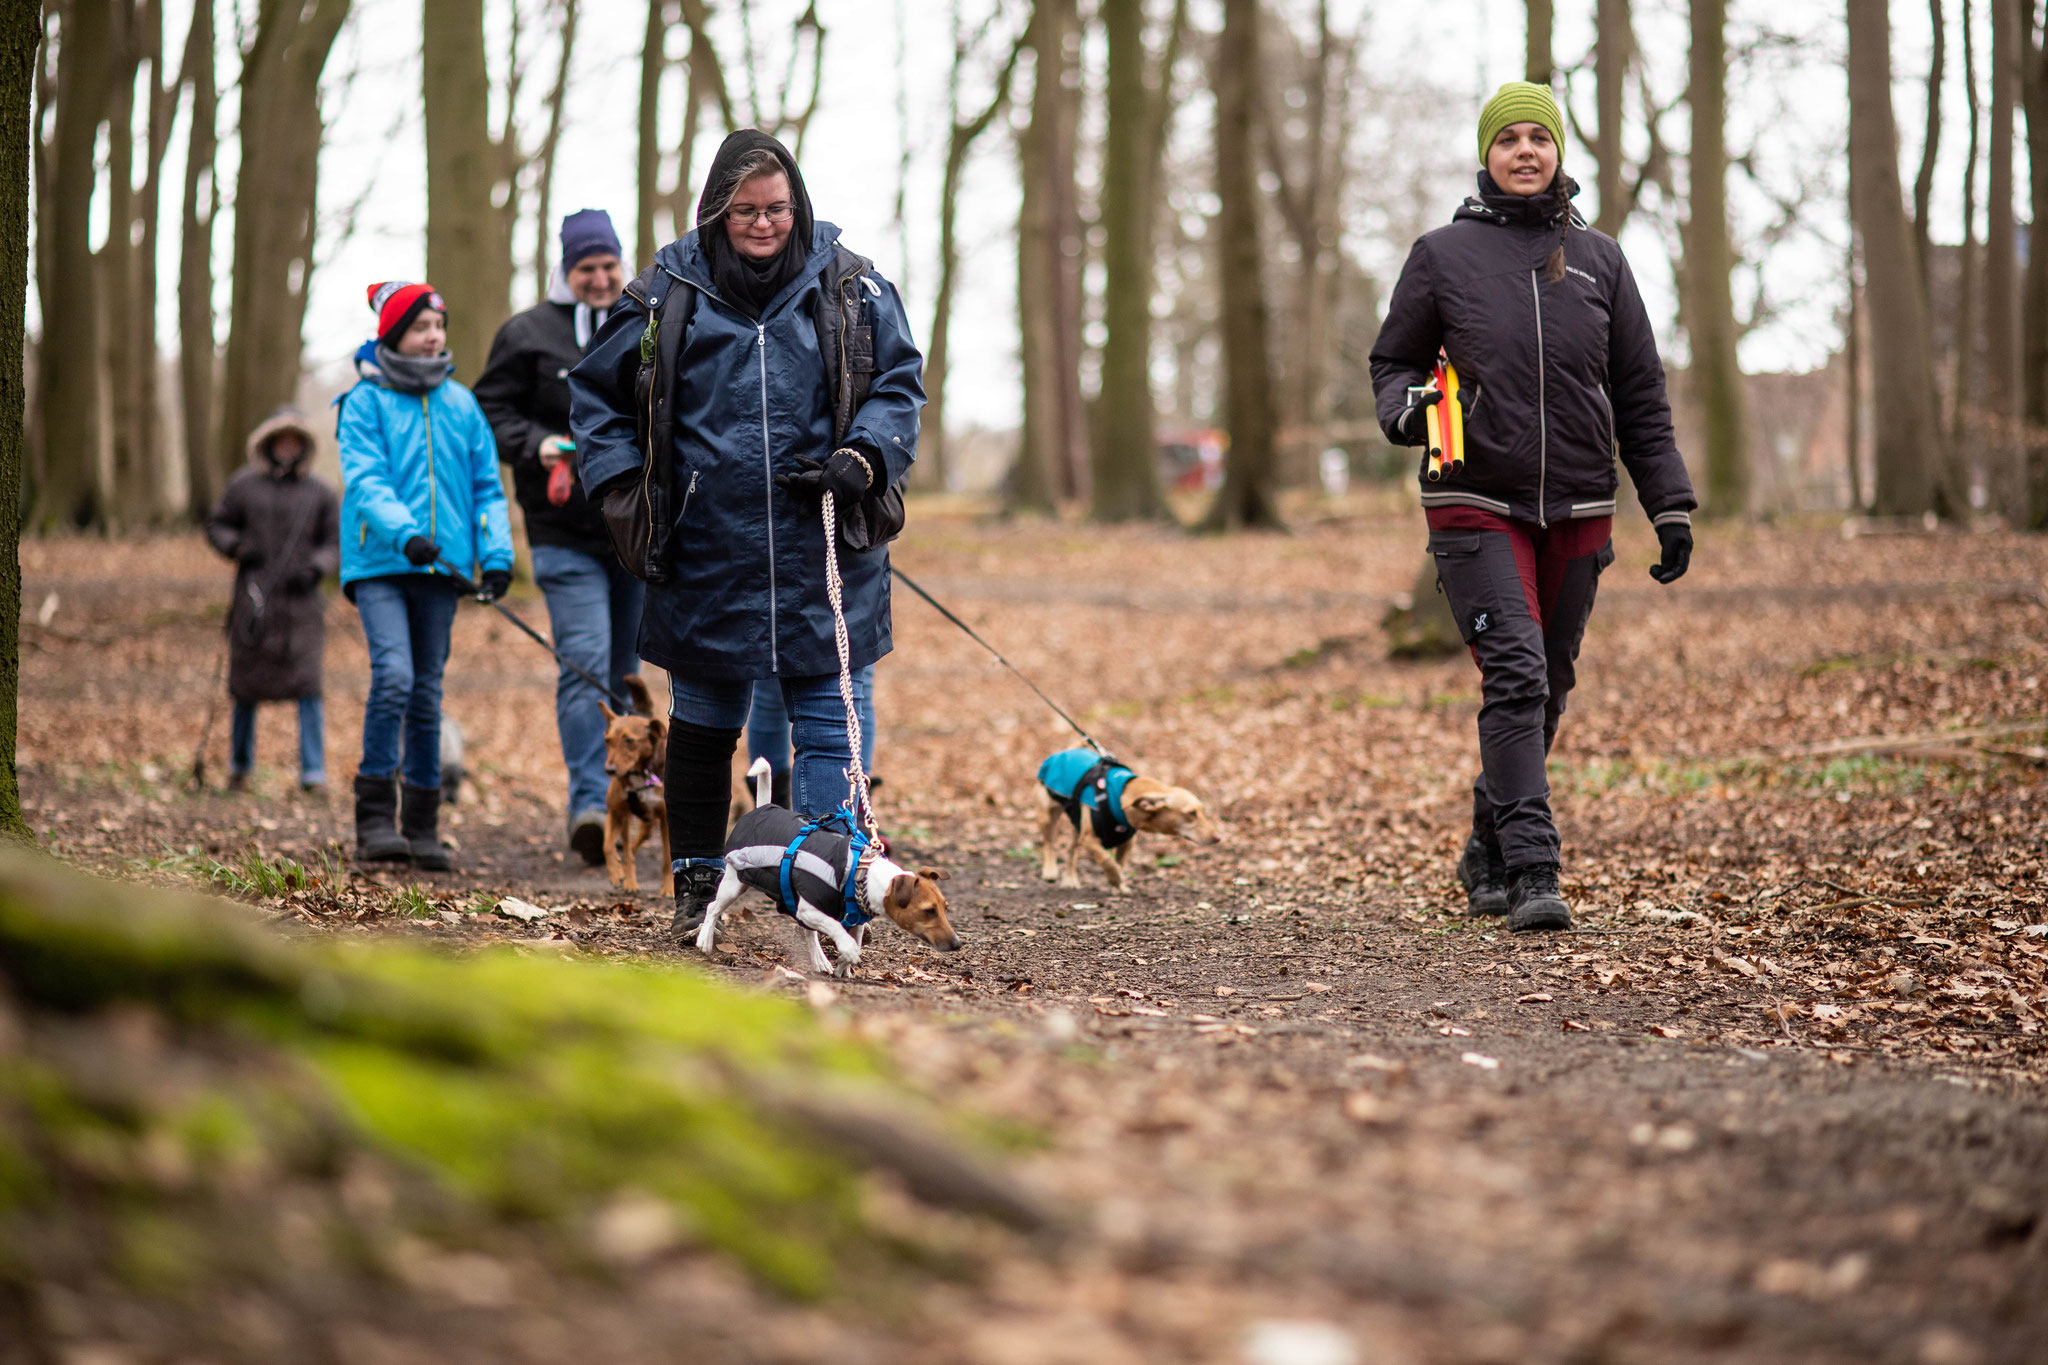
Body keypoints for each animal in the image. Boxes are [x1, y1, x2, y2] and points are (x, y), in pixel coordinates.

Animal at [598, 675, 671, 896]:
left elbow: (667, 858)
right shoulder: (616, 813)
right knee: (629, 845)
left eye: (630, 740)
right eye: (607, 740)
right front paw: (618, 875)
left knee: (639, 841)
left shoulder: (666, 820)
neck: (640, 774)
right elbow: (608, 846)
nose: (610, 770)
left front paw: (668, 888)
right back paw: (625, 875)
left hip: (650, 821)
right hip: (630, 819)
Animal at [1040, 749, 1212, 896]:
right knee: (1049, 842)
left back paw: (1070, 879)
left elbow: (1120, 863)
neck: (1120, 797)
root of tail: (1067, 750)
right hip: (1048, 816)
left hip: (1078, 825)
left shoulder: (1127, 842)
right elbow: (1108, 860)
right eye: (1191, 813)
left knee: (1072, 851)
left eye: (1202, 812)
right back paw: (1050, 871)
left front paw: (1120, 887)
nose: (1216, 838)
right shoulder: (1089, 839)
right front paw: (1116, 879)